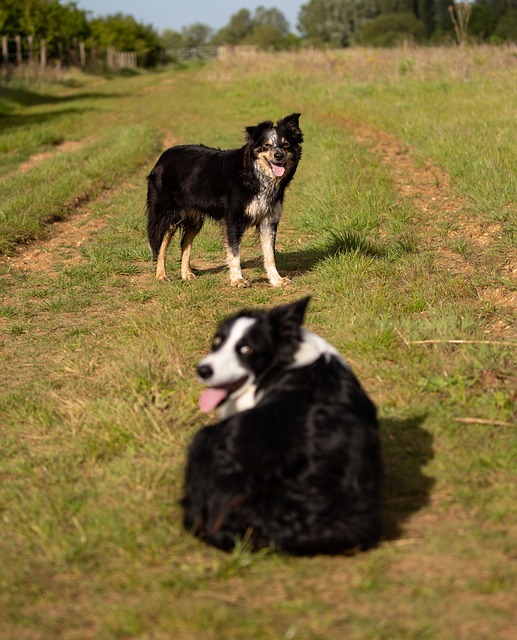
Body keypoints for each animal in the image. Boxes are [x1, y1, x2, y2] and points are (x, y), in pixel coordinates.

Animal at [145, 113, 302, 288]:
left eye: (286, 144)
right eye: (266, 146)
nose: (278, 155)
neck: (254, 174)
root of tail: (163, 157)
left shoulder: (268, 220)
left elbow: (270, 255)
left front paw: (276, 280)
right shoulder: (233, 219)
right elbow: (234, 252)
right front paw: (237, 279)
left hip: (194, 218)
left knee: (185, 243)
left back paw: (186, 274)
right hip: (167, 215)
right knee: (160, 245)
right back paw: (161, 275)